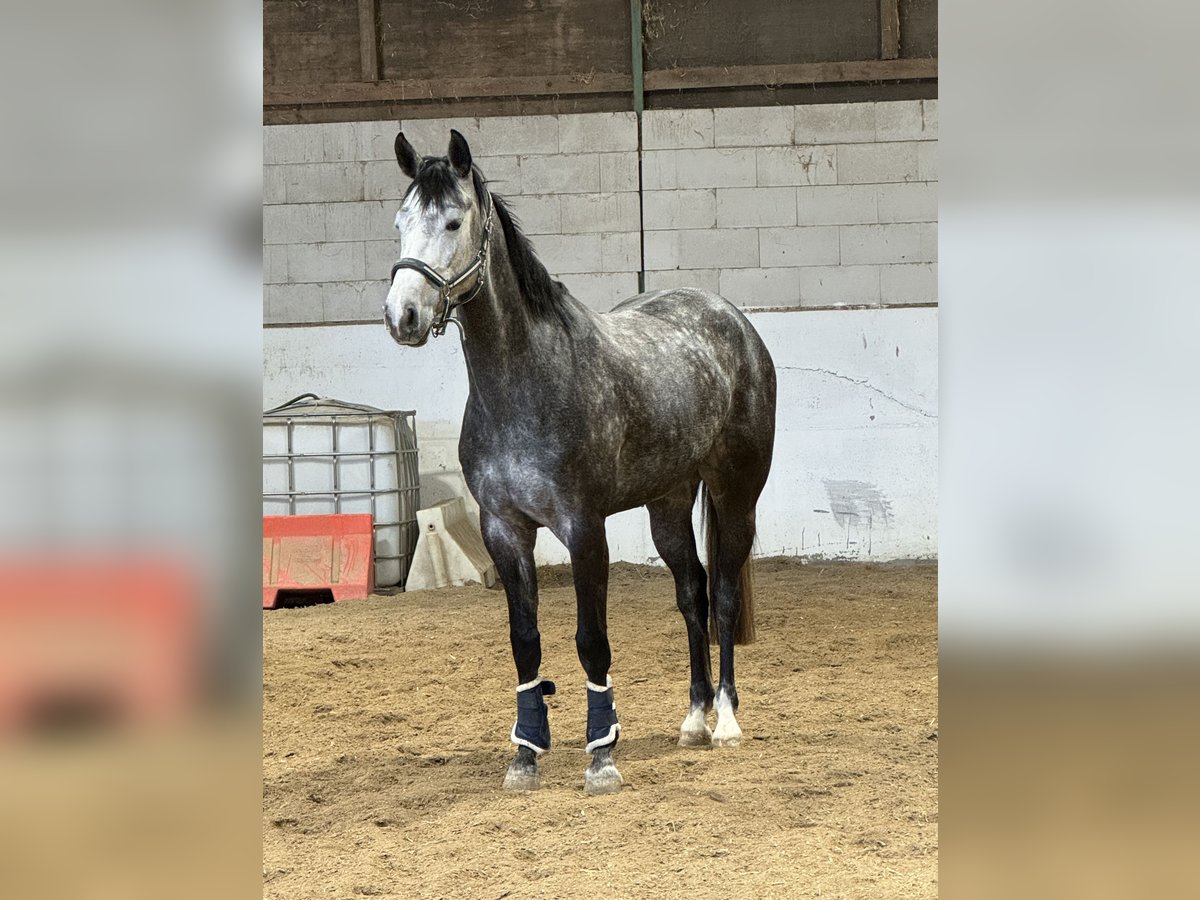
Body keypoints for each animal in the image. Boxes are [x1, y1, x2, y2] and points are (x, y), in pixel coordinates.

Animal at [384, 128, 777, 796]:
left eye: (454, 221)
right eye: (400, 223)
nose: (402, 315)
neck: (524, 385)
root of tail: (735, 322)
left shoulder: (583, 528)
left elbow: (592, 641)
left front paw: (602, 756)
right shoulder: (504, 530)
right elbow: (525, 642)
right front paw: (525, 755)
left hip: (735, 493)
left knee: (723, 593)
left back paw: (724, 719)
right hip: (668, 502)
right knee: (692, 594)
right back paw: (694, 718)